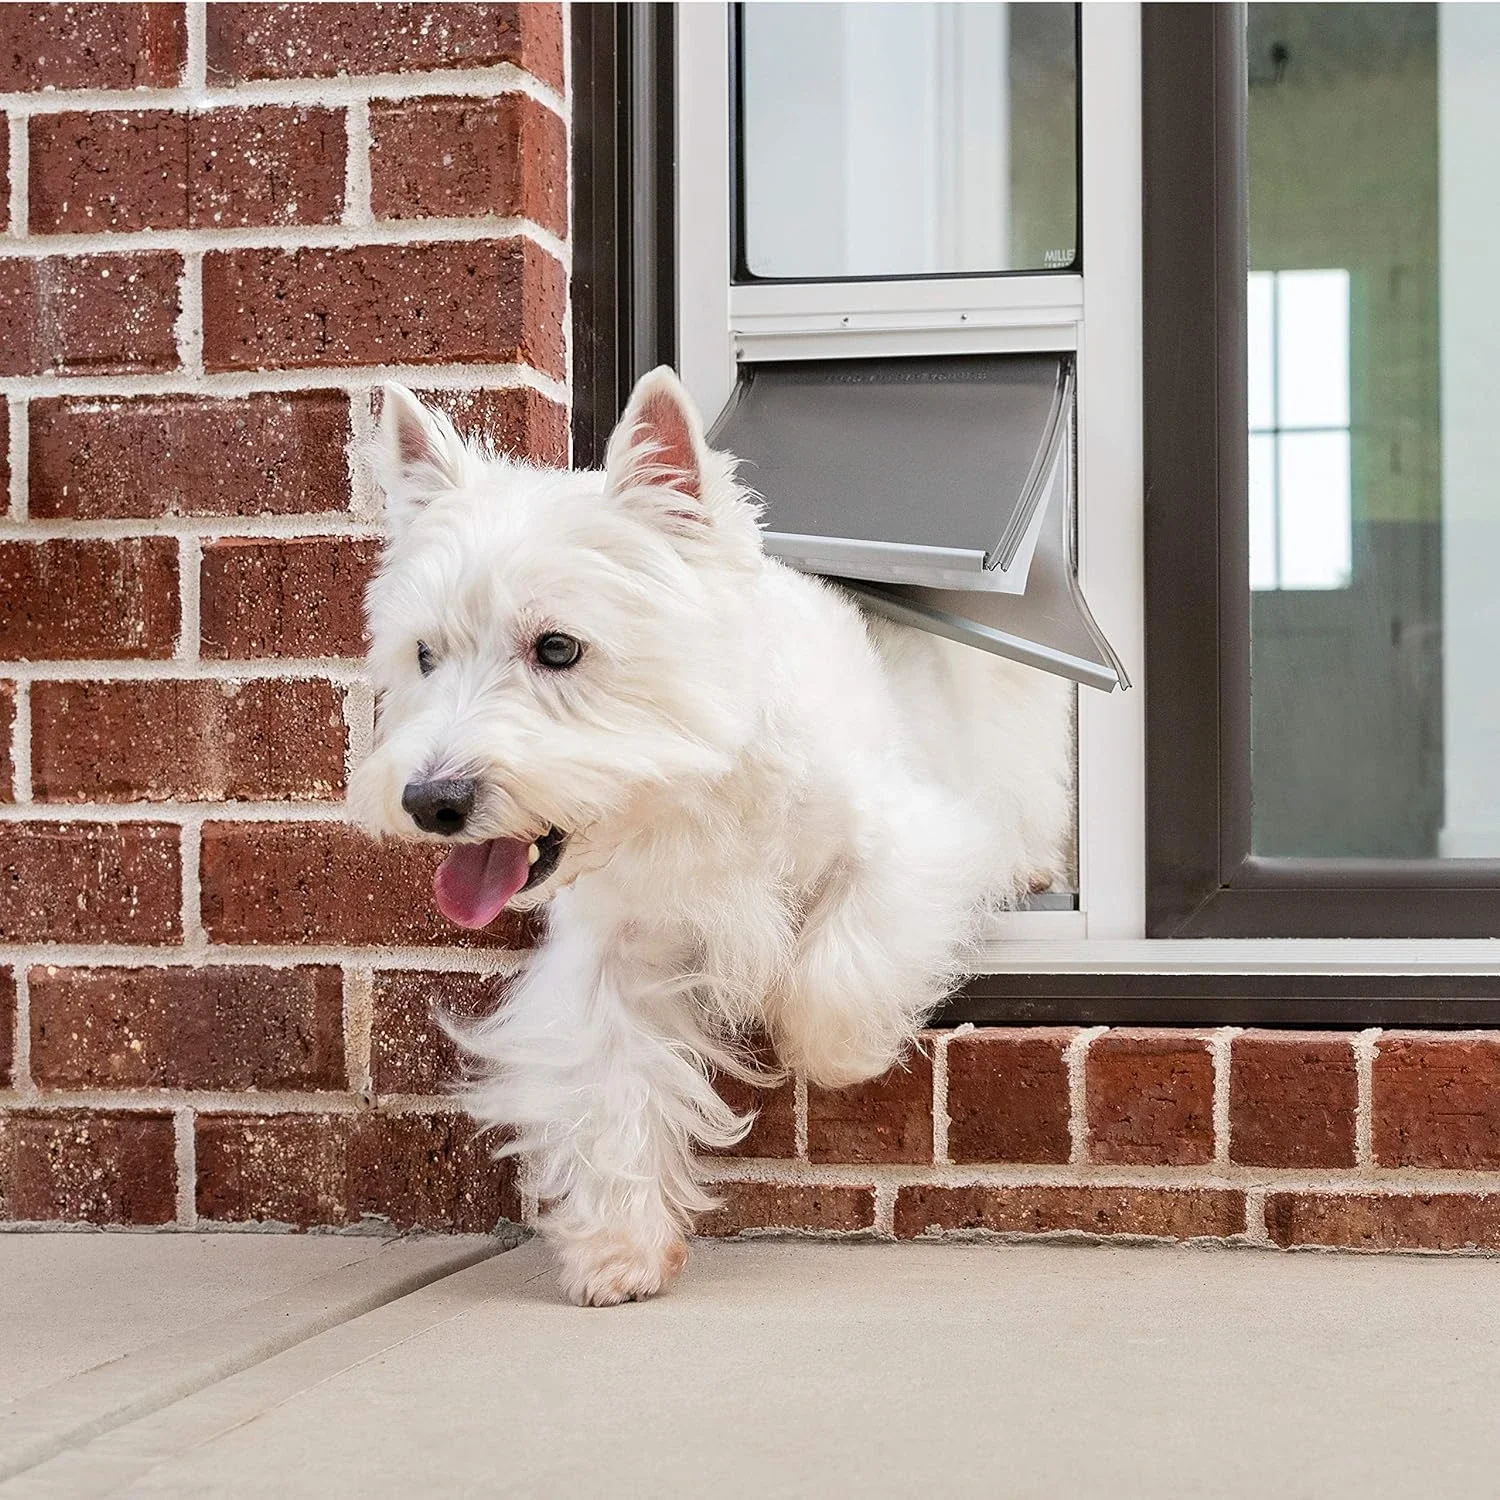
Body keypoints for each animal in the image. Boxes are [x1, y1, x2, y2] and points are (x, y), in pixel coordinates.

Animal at [355, 369, 1074, 1308]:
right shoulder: (612, 950)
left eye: (559, 647)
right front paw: (619, 1249)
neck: (692, 788)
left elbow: (833, 970)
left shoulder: (911, 837)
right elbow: (610, 1079)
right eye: (424, 655)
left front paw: (832, 1051)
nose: (433, 800)